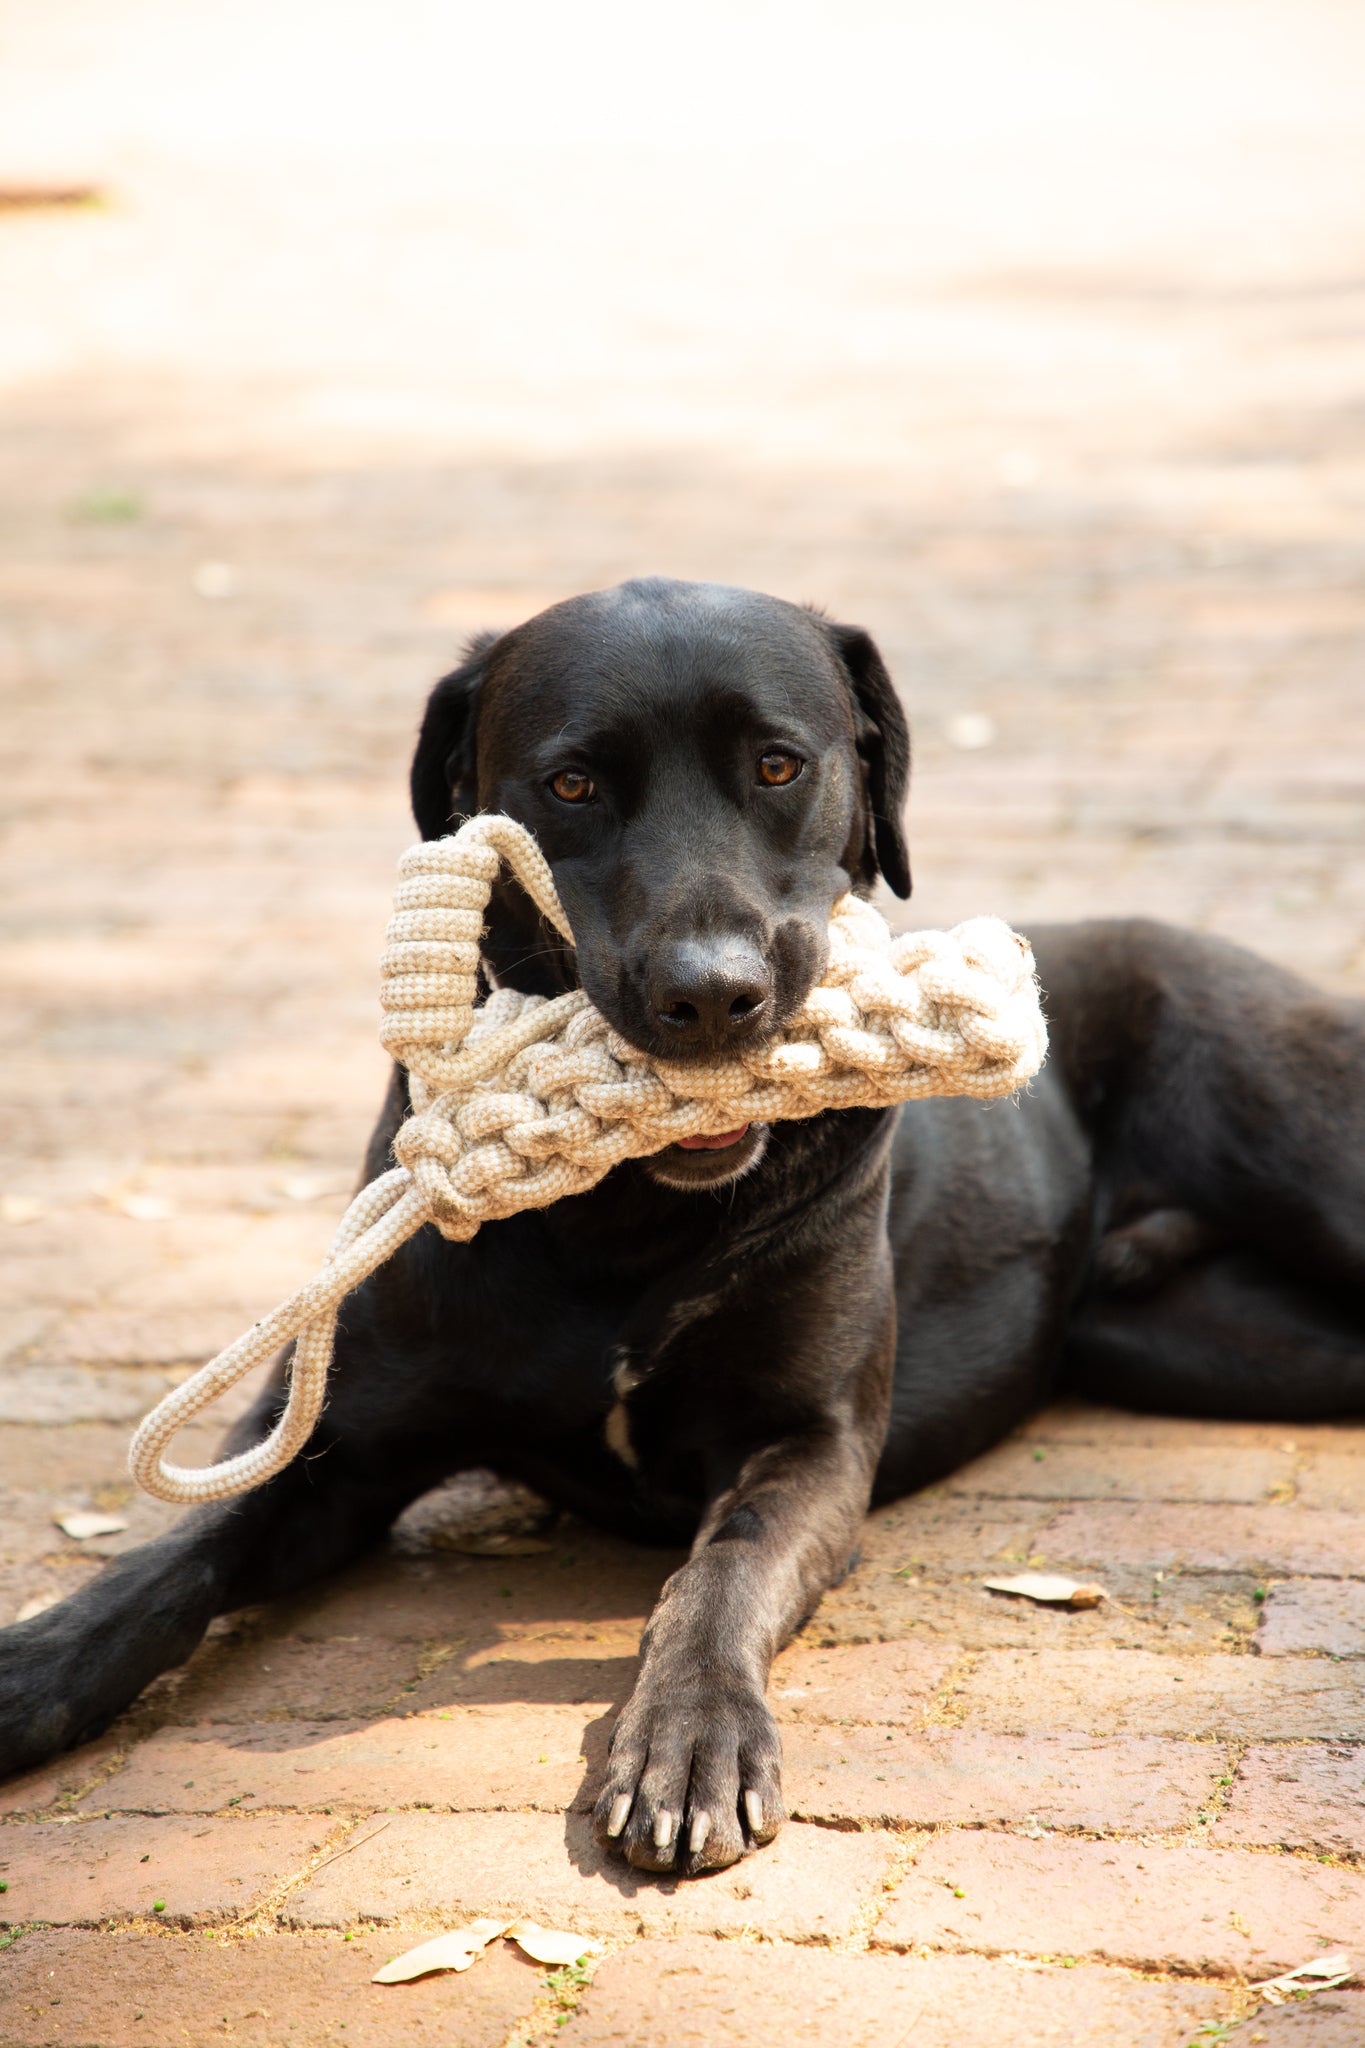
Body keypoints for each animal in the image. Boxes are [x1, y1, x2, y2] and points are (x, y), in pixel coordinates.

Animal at [2, 581, 1365, 1875]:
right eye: (571, 784)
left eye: (778, 764)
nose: (711, 994)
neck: (625, 1221)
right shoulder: (336, 1444)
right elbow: (175, 1553)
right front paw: (37, 1660)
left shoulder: (808, 1444)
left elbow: (718, 1574)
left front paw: (691, 1740)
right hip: (1218, 1340)